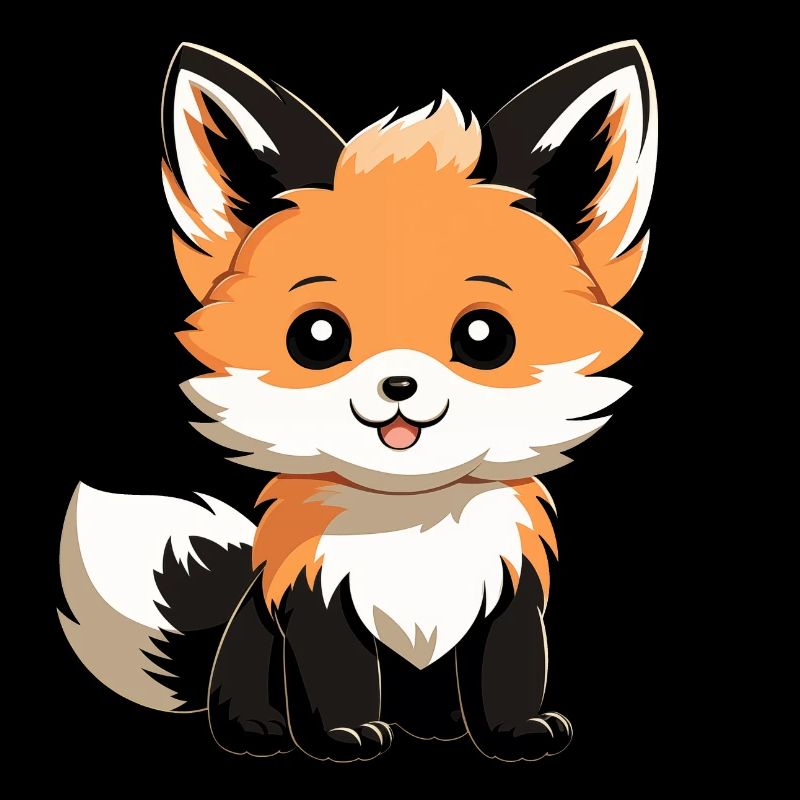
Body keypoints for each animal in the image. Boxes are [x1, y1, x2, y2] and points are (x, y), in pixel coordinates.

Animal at [59, 41, 657, 762]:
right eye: (317, 336)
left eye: (484, 336)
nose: (399, 385)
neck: (411, 516)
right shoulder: (316, 596)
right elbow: (335, 673)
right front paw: (341, 738)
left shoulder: (508, 592)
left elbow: (505, 671)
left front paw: (514, 734)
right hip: (250, 650)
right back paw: (259, 729)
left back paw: (438, 727)